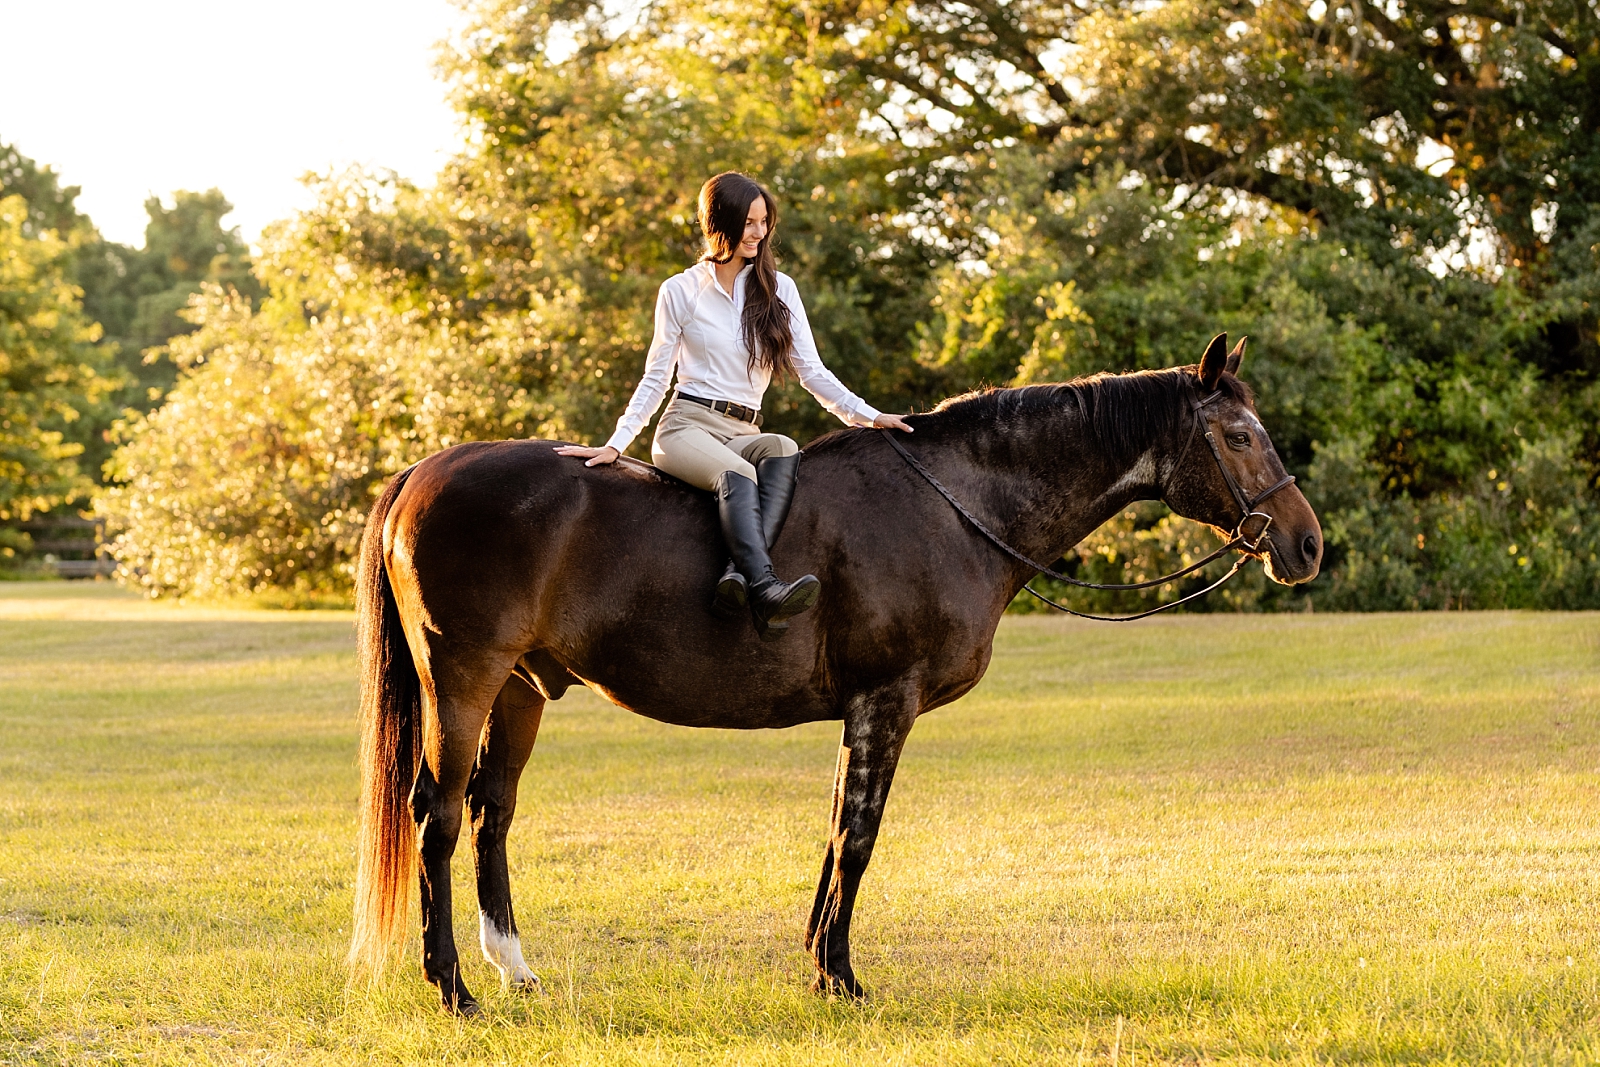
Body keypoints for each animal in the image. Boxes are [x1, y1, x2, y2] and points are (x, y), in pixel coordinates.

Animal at [350, 335, 1324, 1017]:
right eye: (1240, 435)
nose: (1307, 544)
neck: (952, 506)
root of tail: (423, 471)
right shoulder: (887, 701)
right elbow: (858, 838)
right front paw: (843, 976)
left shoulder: (863, 709)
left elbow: (833, 833)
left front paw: (821, 965)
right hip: (464, 678)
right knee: (437, 814)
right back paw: (452, 987)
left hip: (519, 689)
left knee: (492, 813)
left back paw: (513, 969)